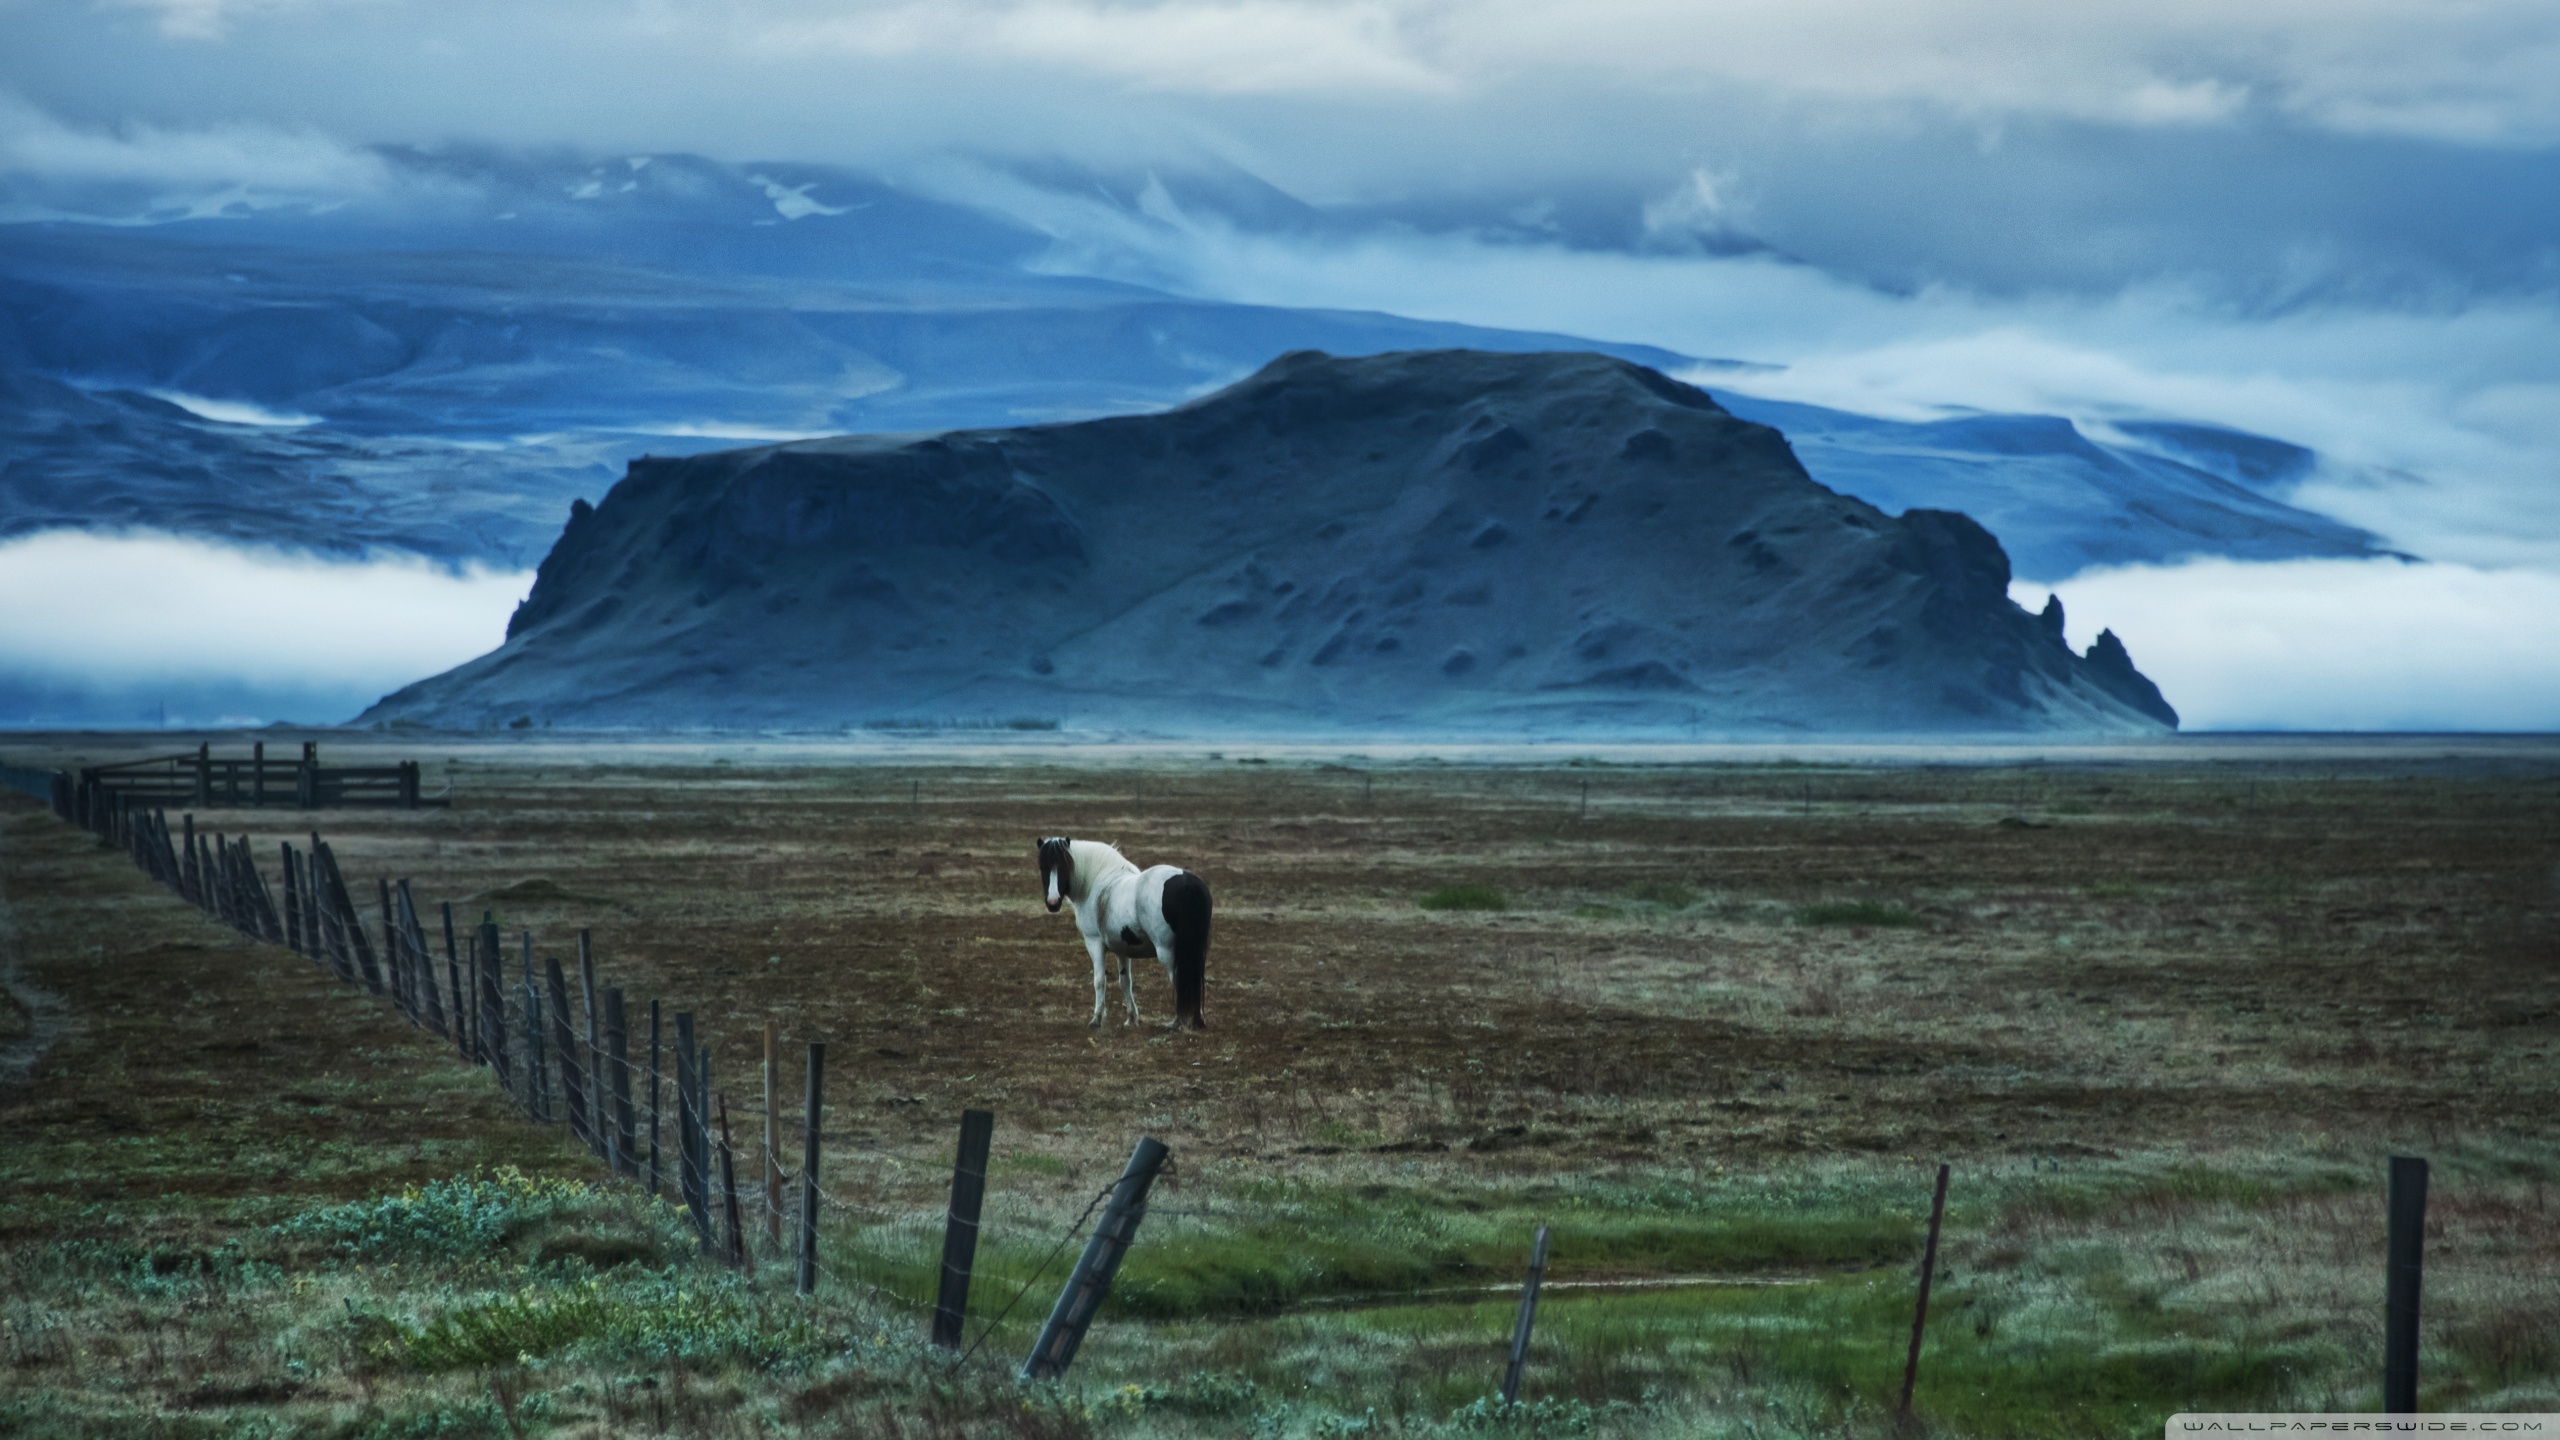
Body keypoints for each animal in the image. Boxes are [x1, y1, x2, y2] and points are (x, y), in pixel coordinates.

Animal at [1029, 835, 1208, 1024]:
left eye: (1065, 865)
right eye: (1042, 866)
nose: (1053, 902)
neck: (1097, 883)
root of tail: (1187, 882)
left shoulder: (1094, 943)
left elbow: (1099, 980)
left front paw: (1097, 1018)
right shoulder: (1122, 949)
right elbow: (1125, 982)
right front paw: (1131, 1018)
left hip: (1167, 952)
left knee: (1181, 981)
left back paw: (1178, 1022)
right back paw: (1197, 1020)